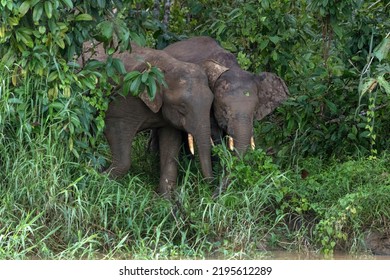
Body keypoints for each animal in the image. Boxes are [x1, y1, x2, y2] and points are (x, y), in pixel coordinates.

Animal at [79, 42, 213, 198]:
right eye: (182, 107)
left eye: (212, 103)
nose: (207, 189)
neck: (169, 65)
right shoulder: (124, 97)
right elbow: (115, 130)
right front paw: (98, 176)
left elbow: (170, 144)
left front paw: (166, 199)